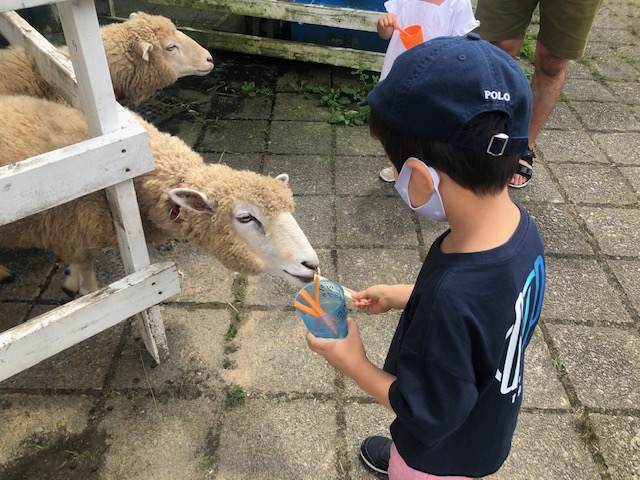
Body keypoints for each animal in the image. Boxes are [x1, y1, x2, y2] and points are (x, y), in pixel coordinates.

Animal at [0, 94, 320, 296]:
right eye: (245, 217)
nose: (312, 265)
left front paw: (72, 280)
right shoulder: (71, 229)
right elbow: (88, 273)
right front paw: (82, 288)